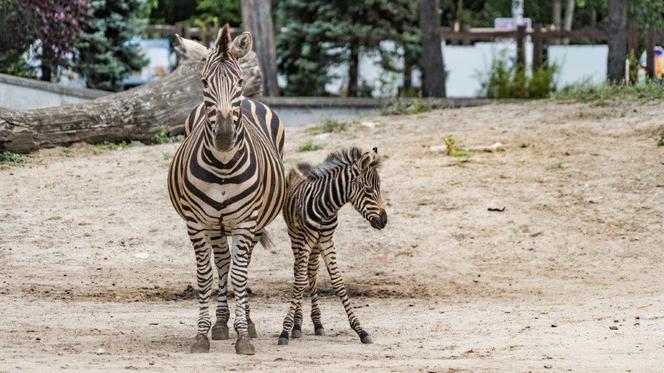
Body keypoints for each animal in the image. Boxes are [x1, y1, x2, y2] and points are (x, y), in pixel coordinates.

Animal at [166, 25, 286, 354]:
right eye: (204, 82)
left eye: (240, 82)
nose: (223, 137)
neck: (222, 167)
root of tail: (251, 101)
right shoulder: (197, 224)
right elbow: (206, 275)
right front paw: (202, 334)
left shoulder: (246, 222)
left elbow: (241, 275)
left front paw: (243, 335)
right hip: (215, 226)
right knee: (222, 263)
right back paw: (221, 324)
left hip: (252, 222)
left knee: (238, 265)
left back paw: (246, 323)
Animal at [278, 147, 386, 344]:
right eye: (368, 189)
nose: (384, 221)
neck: (327, 207)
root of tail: (301, 166)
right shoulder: (307, 239)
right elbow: (299, 282)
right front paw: (285, 330)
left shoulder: (326, 240)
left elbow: (337, 281)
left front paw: (360, 330)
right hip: (296, 236)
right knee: (298, 271)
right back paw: (297, 325)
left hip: (314, 244)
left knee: (311, 271)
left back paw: (317, 323)